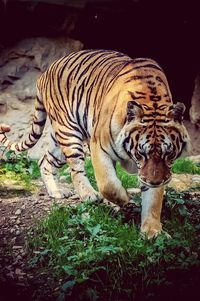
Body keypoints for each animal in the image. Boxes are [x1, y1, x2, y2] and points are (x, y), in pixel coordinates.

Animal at [0, 49, 191, 237]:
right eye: (140, 154)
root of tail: (45, 73)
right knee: (75, 169)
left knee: (45, 160)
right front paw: (125, 200)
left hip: (59, 141)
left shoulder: (159, 170)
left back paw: (57, 191)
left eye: (169, 154)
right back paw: (89, 194)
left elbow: (153, 200)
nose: (154, 181)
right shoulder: (99, 146)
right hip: (69, 132)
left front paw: (153, 231)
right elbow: (108, 184)